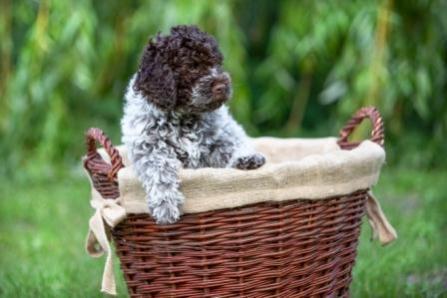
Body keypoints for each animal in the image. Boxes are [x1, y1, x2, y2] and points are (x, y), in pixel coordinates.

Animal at [121, 25, 266, 224]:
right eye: (192, 66)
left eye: (217, 63)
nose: (222, 86)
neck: (183, 117)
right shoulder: (149, 149)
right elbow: (160, 172)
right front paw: (166, 205)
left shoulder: (217, 142)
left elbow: (228, 149)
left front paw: (244, 157)